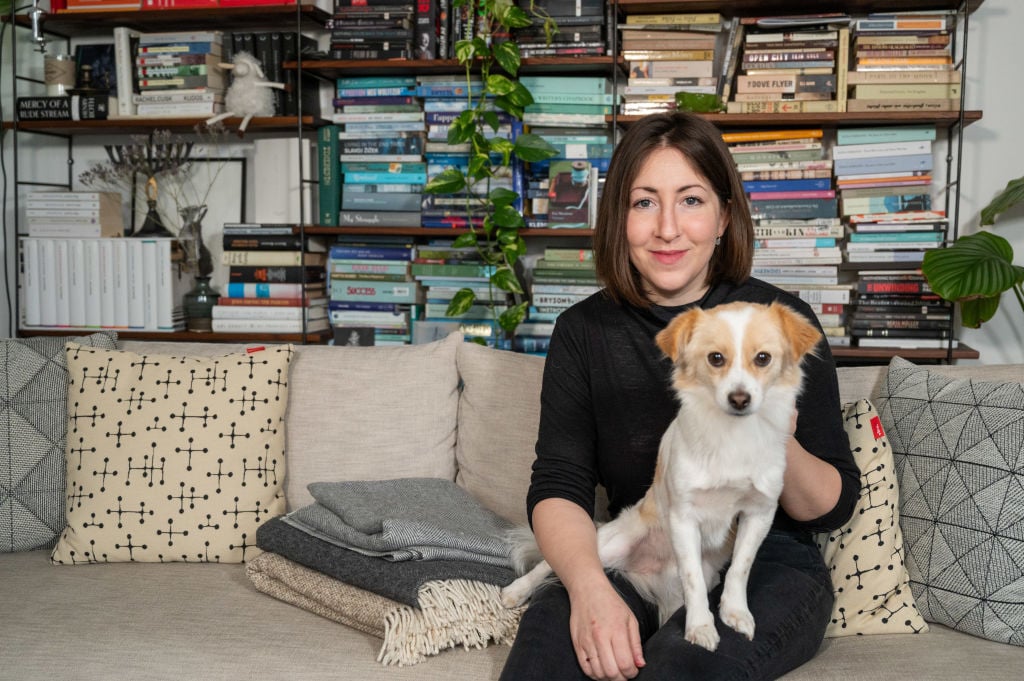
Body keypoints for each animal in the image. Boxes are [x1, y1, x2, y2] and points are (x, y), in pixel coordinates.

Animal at [499, 301, 819, 647]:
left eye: (763, 358)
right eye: (715, 358)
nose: (739, 399)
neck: (732, 433)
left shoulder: (759, 513)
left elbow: (740, 568)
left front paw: (735, 613)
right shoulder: (683, 516)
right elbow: (691, 576)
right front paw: (700, 626)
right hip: (608, 543)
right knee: (555, 564)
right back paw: (517, 590)